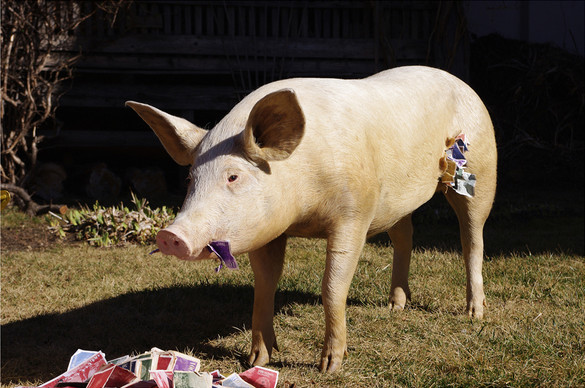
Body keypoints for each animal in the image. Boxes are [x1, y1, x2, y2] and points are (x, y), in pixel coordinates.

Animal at [125, 65, 496, 372]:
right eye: (191, 179)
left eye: (233, 176)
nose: (170, 235)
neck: (303, 209)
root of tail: (461, 81)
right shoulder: (270, 229)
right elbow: (265, 284)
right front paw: (256, 361)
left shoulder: (354, 214)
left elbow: (332, 286)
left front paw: (329, 367)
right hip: (395, 202)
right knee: (405, 235)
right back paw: (395, 306)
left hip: (479, 169)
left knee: (472, 239)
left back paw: (474, 313)